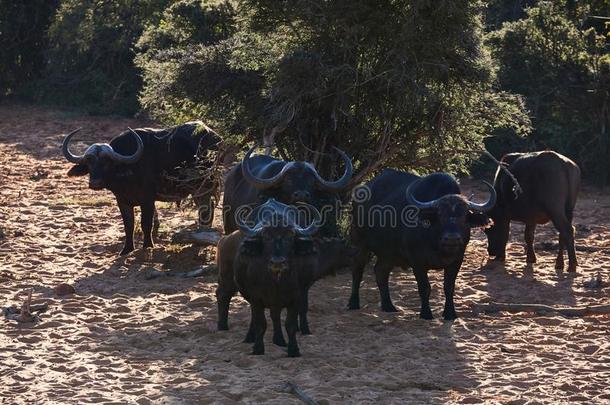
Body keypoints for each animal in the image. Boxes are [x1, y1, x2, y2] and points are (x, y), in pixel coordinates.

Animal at [59, 120, 220, 254]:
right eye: (89, 162)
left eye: (106, 162)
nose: (95, 183)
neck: (127, 174)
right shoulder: (122, 201)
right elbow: (128, 225)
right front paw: (127, 249)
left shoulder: (147, 200)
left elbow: (145, 223)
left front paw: (148, 245)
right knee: (207, 208)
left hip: (203, 185)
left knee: (206, 210)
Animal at [346, 170, 494, 318]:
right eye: (440, 215)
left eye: (464, 216)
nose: (452, 238)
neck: (437, 246)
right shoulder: (417, 262)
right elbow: (424, 287)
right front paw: (426, 313)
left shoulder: (457, 260)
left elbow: (449, 287)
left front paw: (450, 313)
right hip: (360, 243)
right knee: (357, 268)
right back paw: (353, 303)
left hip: (389, 254)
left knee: (380, 271)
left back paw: (388, 306)